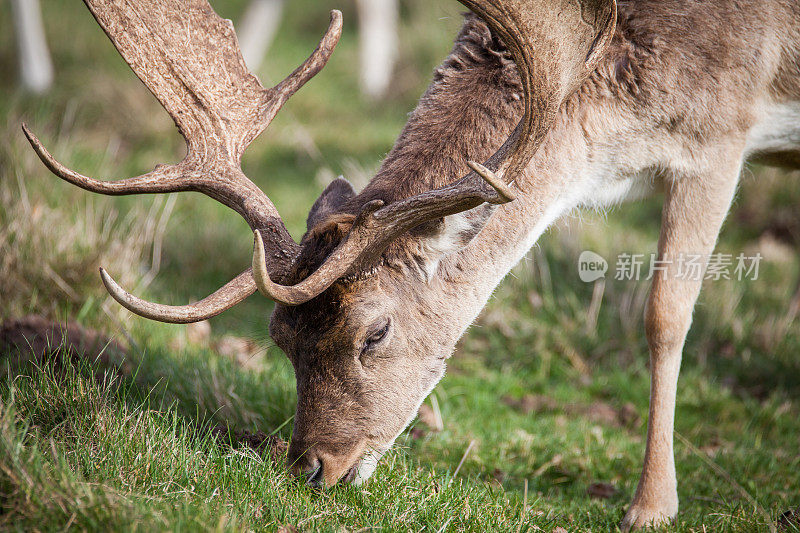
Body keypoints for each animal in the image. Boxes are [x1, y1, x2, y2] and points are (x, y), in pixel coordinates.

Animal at [23, 0, 800, 528]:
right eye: (279, 336)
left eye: (376, 332)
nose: (313, 468)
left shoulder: (721, 135)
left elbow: (666, 314)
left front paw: (652, 506)